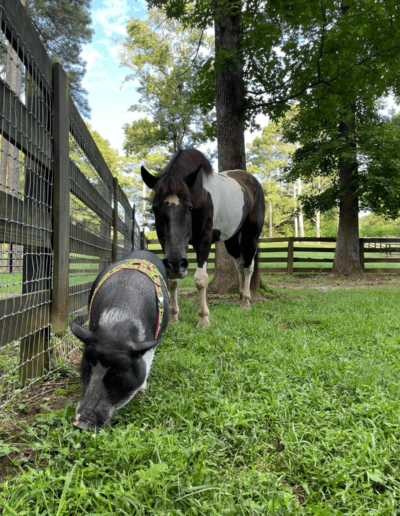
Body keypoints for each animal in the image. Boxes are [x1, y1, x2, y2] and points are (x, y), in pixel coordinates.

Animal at [141, 148, 266, 326]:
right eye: (155, 209)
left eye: (189, 208)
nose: (175, 264)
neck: (199, 193)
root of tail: (253, 182)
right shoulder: (170, 247)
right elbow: (172, 280)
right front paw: (173, 316)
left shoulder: (204, 241)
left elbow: (201, 279)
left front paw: (203, 319)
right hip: (231, 239)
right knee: (240, 265)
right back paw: (241, 297)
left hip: (251, 236)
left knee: (249, 266)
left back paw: (246, 301)